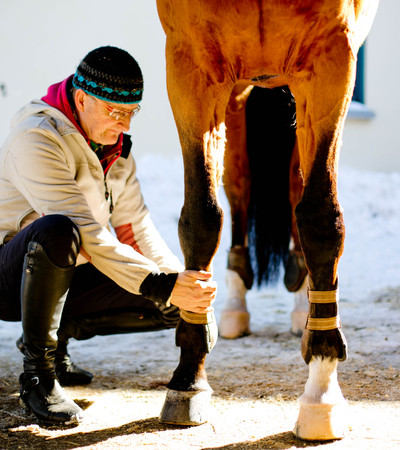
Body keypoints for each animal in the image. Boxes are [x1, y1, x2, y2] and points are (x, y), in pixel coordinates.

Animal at [155, 0, 378, 442]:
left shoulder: (331, 60)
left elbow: (319, 216)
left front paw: (322, 391)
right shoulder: (191, 64)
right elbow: (201, 216)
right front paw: (188, 380)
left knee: (296, 182)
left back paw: (301, 301)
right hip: (240, 91)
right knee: (239, 183)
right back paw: (235, 303)